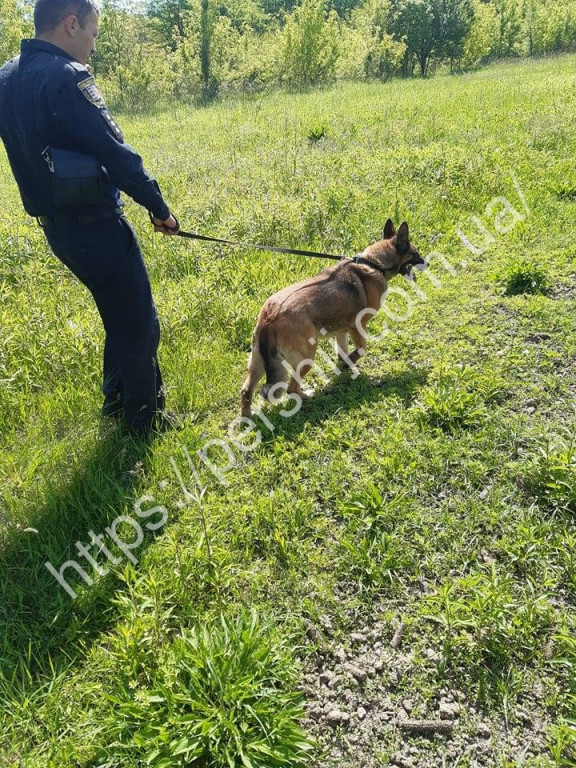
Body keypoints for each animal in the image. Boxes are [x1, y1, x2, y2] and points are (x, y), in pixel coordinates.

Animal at [240, 219, 428, 416]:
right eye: (416, 253)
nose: (427, 264)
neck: (374, 264)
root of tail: (270, 316)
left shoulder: (342, 331)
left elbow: (343, 352)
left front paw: (345, 365)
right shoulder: (357, 326)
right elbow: (362, 349)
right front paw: (351, 360)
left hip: (258, 361)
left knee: (246, 391)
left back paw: (247, 418)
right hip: (306, 357)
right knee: (291, 388)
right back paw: (308, 396)